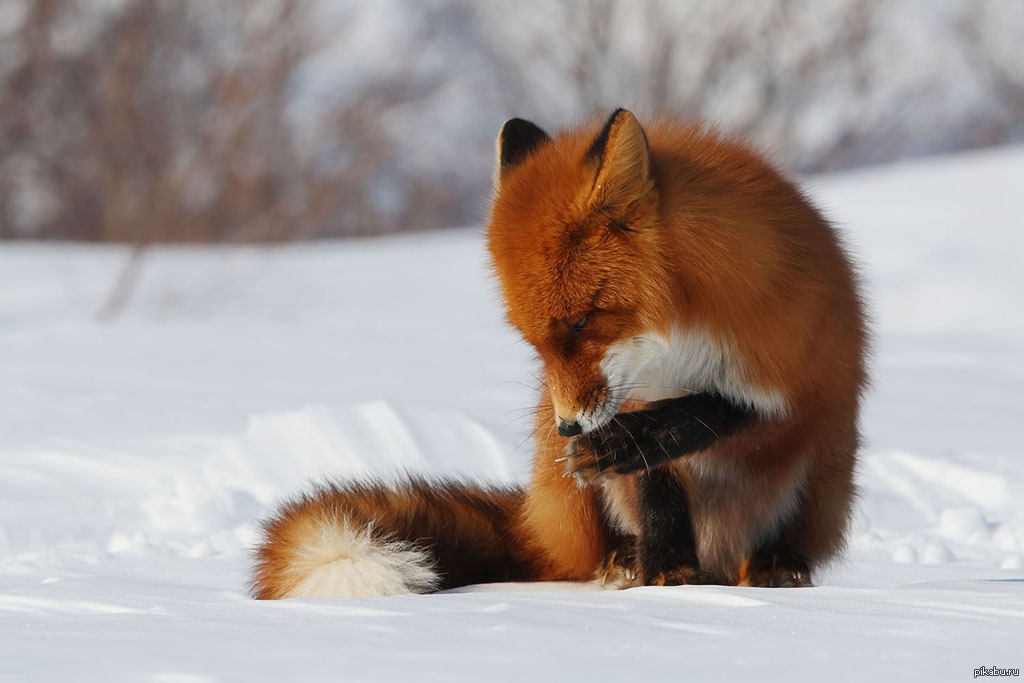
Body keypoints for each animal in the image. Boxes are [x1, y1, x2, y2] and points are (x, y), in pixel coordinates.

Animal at [247, 107, 864, 598]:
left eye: (582, 322)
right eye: (534, 341)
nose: (570, 426)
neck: (679, 345)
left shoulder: (803, 373)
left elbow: (715, 414)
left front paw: (634, 443)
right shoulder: (631, 396)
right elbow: (657, 491)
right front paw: (669, 578)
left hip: (826, 468)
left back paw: (774, 563)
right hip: (564, 476)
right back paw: (628, 561)